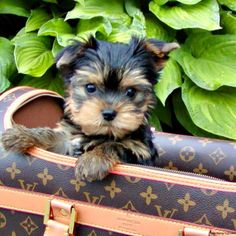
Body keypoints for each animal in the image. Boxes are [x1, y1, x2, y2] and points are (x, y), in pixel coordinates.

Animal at [1, 36, 179, 182]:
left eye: (130, 92)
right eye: (90, 87)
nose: (109, 113)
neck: (101, 133)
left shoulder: (140, 151)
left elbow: (115, 145)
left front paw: (92, 160)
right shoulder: (68, 142)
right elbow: (54, 136)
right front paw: (22, 134)